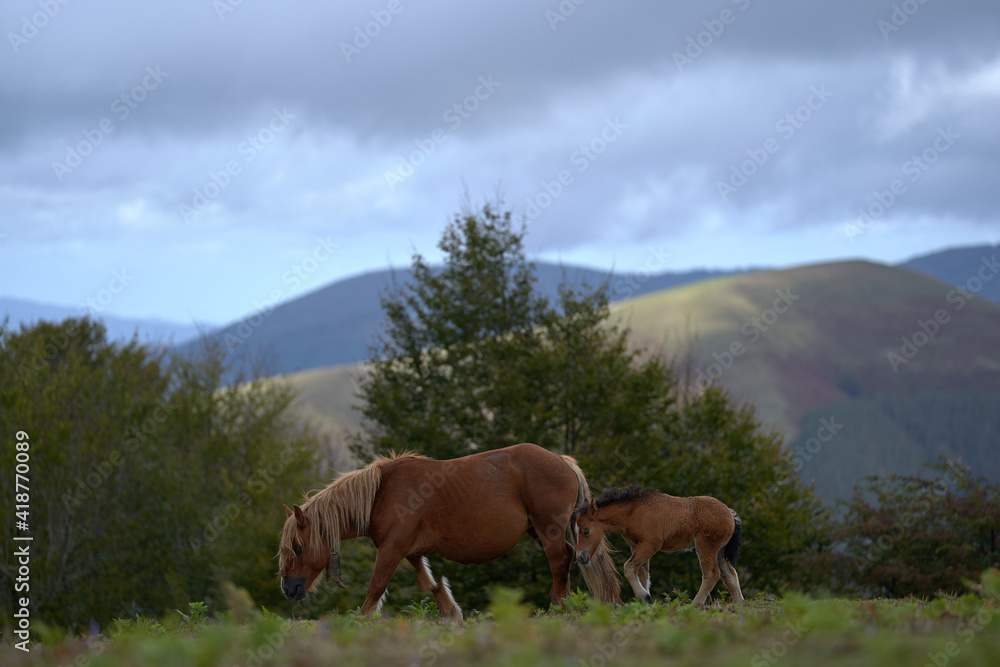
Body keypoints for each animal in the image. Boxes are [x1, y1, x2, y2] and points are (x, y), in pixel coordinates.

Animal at [278, 442, 621, 620]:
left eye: (297, 548)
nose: (288, 590)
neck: (380, 494)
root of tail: (561, 460)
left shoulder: (391, 549)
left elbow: (376, 587)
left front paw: (362, 621)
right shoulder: (409, 551)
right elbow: (429, 583)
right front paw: (451, 613)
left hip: (547, 529)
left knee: (560, 561)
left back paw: (556, 608)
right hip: (536, 530)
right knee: (567, 557)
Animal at [574, 485, 744, 606]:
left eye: (586, 531)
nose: (580, 557)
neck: (632, 512)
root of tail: (730, 513)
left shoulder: (651, 544)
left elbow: (629, 568)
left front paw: (645, 598)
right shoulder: (636, 546)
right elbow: (642, 574)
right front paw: (644, 603)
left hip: (706, 546)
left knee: (712, 574)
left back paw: (695, 605)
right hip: (720, 551)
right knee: (730, 574)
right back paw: (739, 606)